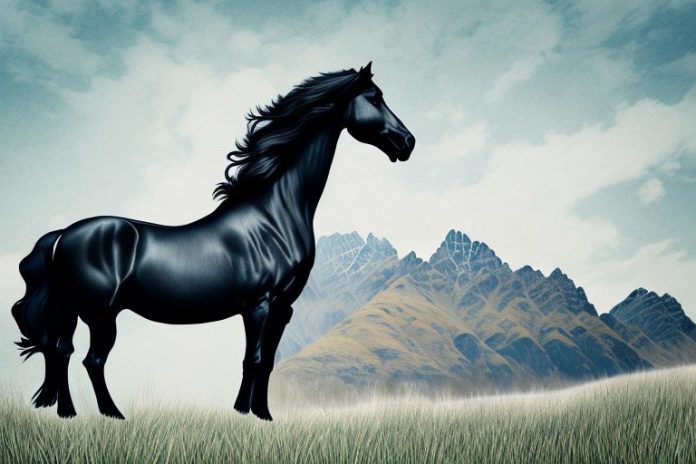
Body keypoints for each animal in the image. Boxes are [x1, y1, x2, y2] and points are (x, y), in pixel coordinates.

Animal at [11, 63, 415, 421]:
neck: (274, 216)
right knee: (88, 360)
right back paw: (111, 414)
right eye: (375, 98)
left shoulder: (283, 308)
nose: (407, 142)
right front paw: (245, 413)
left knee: (60, 352)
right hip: (98, 314)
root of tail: (64, 234)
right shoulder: (259, 305)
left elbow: (267, 362)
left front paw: (263, 414)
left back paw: (67, 412)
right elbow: (252, 359)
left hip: (74, 311)